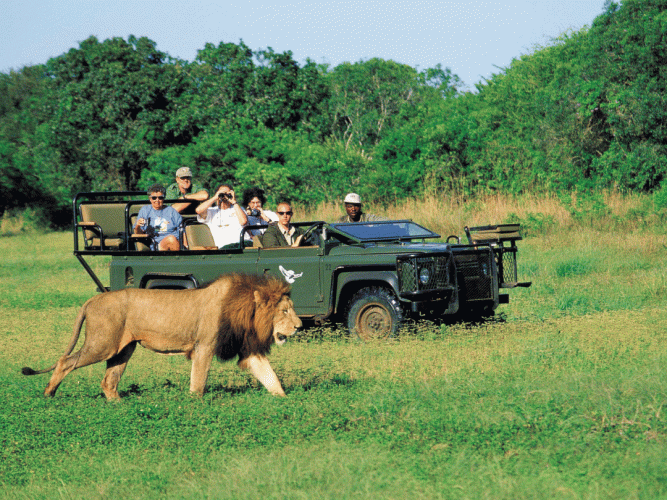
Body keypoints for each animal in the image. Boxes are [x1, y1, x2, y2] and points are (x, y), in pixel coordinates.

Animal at [20, 274, 302, 398]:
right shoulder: (204, 346)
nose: (299, 326)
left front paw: (285, 401)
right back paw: (49, 394)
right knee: (65, 361)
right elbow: (198, 381)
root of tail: (91, 300)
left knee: (109, 380)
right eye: (285, 310)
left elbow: (270, 376)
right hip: (103, 344)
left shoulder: (248, 349)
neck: (244, 311)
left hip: (123, 349)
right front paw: (195, 404)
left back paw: (120, 405)